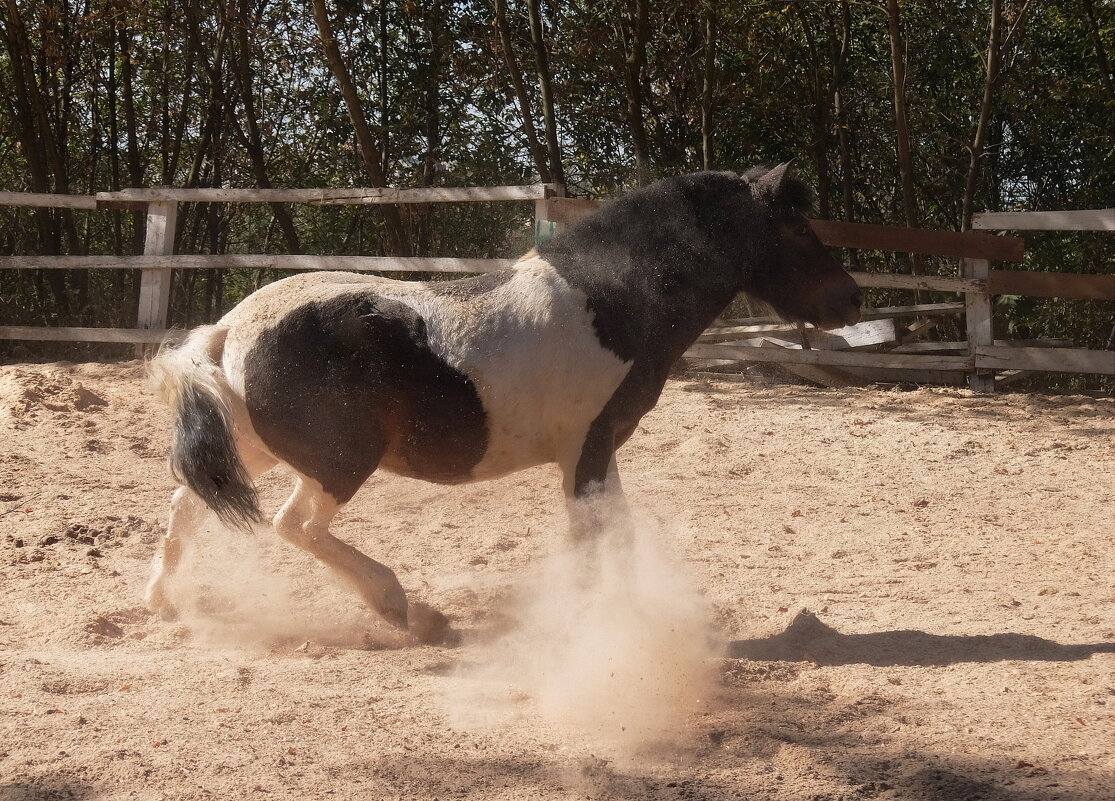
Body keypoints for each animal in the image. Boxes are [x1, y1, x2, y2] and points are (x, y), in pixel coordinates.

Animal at [146, 166, 860, 642]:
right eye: (798, 226)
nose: (850, 300)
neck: (606, 305)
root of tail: (230, 328)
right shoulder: (584, 448)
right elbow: (592, 537)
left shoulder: (597, 447)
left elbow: (617, 532)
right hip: (339, 463)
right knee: (294, 526)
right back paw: (407, 609)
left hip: (260, 449)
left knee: (188, 501)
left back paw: (162, 602)